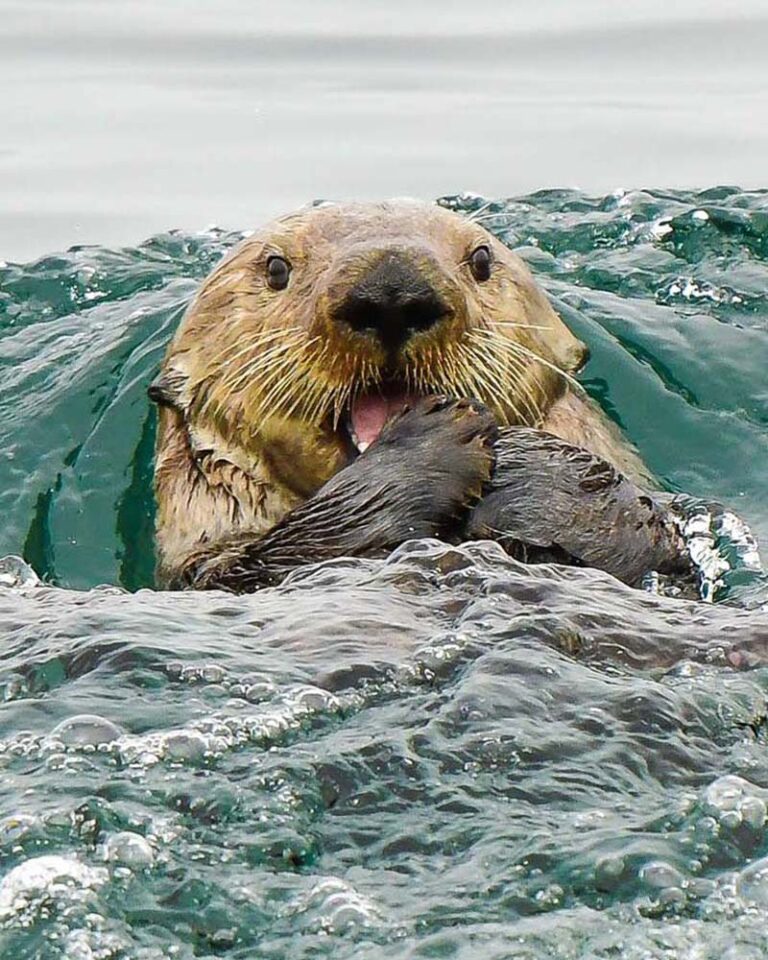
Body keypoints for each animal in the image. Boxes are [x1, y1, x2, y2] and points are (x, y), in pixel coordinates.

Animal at [149, 200, 689, 592]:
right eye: (276, 269)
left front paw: (540, 470)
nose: (392, 291)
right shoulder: (207, 565)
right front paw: (427, 449)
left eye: (482, 260)